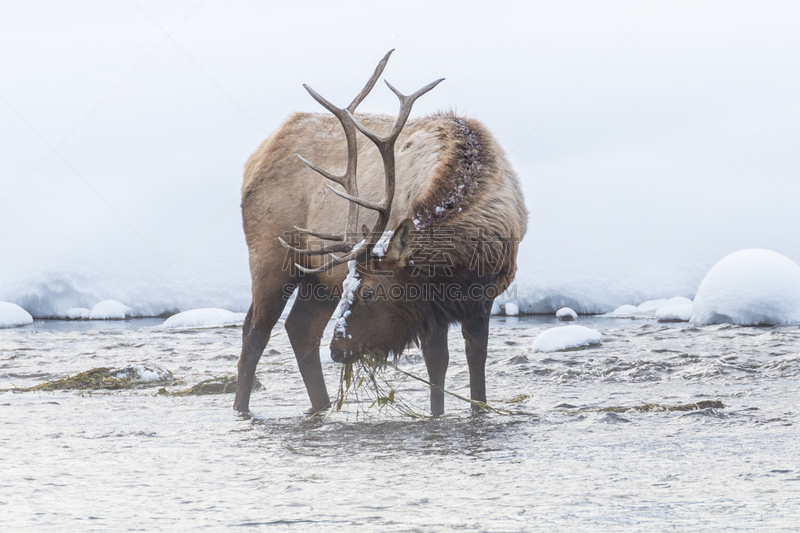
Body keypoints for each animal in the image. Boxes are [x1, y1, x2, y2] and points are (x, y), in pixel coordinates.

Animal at [234, 52, 528, 414]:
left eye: (369, 292)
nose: (339, 350)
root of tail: (255, 156)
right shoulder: (426, 301)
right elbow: (438, 363)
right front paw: (437, 415)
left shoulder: (482, 296)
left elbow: (476, 362)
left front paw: (478, 410)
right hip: (270, 255)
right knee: (254, 333)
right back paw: (242, 410)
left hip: (319, 279)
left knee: (299, 329)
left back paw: (323, 406)